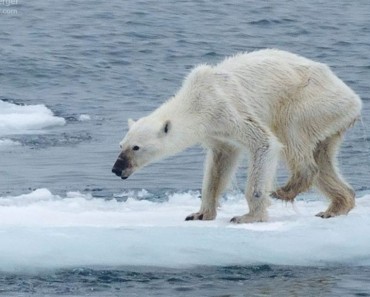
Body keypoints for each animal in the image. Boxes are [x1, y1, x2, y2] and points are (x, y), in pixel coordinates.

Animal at [112, 48, 362, 222]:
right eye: (121, 145)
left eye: (136, 147)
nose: (116, 168)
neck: (196, 100)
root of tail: (354, 99)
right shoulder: (216, 132)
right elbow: (219, 164)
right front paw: (200, 214)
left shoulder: (226, 109)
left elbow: (264, 143)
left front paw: (248, 216)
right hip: (330, 119)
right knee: (323, 157)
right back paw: (336, 206)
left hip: (311, 100)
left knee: (291, 131)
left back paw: (285, 189)